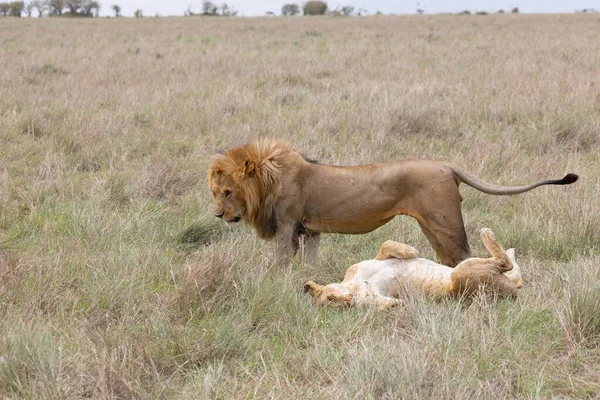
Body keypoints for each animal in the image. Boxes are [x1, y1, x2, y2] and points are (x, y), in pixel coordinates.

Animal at [207, 139, 576, 268]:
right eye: (215, 192)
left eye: (227, 192)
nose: (217, 215)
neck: (267, 182)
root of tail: (447, 165)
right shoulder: (309, 230)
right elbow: (309, 262)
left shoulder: (285, 227)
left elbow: (281, 262)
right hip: (430, 226)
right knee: (448, 258)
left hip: (445, 222)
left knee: (463, 255)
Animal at [302, 228, 524, 310]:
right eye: (335, 304)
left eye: (331, 297)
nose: (348, 301)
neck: (353, 286)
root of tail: (511, 296)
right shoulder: (374, 301)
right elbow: (391, 304)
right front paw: (406, 303)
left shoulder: (369, 262)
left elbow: (386, 244)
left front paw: (410, 251)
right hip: (461, 274)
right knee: (506, 265)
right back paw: (488, 235)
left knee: (516, 276)